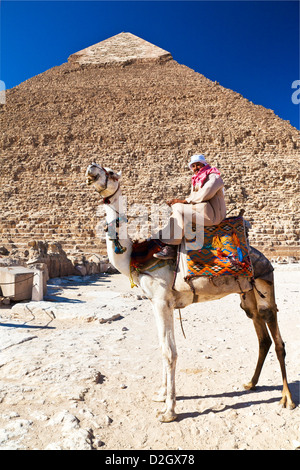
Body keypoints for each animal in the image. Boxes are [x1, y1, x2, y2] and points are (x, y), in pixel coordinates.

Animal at [85, 163, 296, 424]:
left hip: (265, 282)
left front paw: (169, 411)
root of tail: (264, 257)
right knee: (262, 336)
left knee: (277, 338)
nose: (92, 168)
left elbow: (169, 352)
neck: (133, 255)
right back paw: (250, 383)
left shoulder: (161, 300)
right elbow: (162, 346)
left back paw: (287, 399)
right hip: (248, 295)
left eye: (112, 173)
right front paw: (161, 394)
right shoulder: (161, 303)